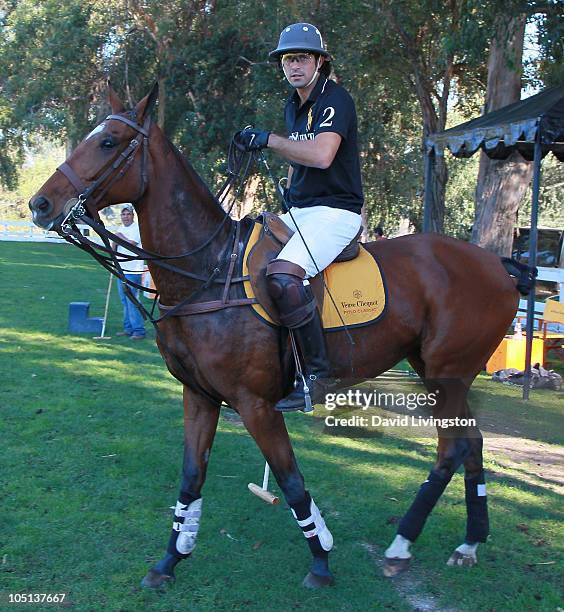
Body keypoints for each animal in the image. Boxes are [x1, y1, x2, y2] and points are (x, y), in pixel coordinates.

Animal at [30, 86, 524, 588]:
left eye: (108, 142)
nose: (39, 205)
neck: (207, 273)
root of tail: (498, 267)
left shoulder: (256, 404)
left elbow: (290, 481)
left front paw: (321, 561)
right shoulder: (198, 395)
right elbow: (191, 477)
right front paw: (169, 561)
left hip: (446, 371)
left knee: (452, 448)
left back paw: (401, 545)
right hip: (437, 368)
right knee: (472, 441)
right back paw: (469, 543)